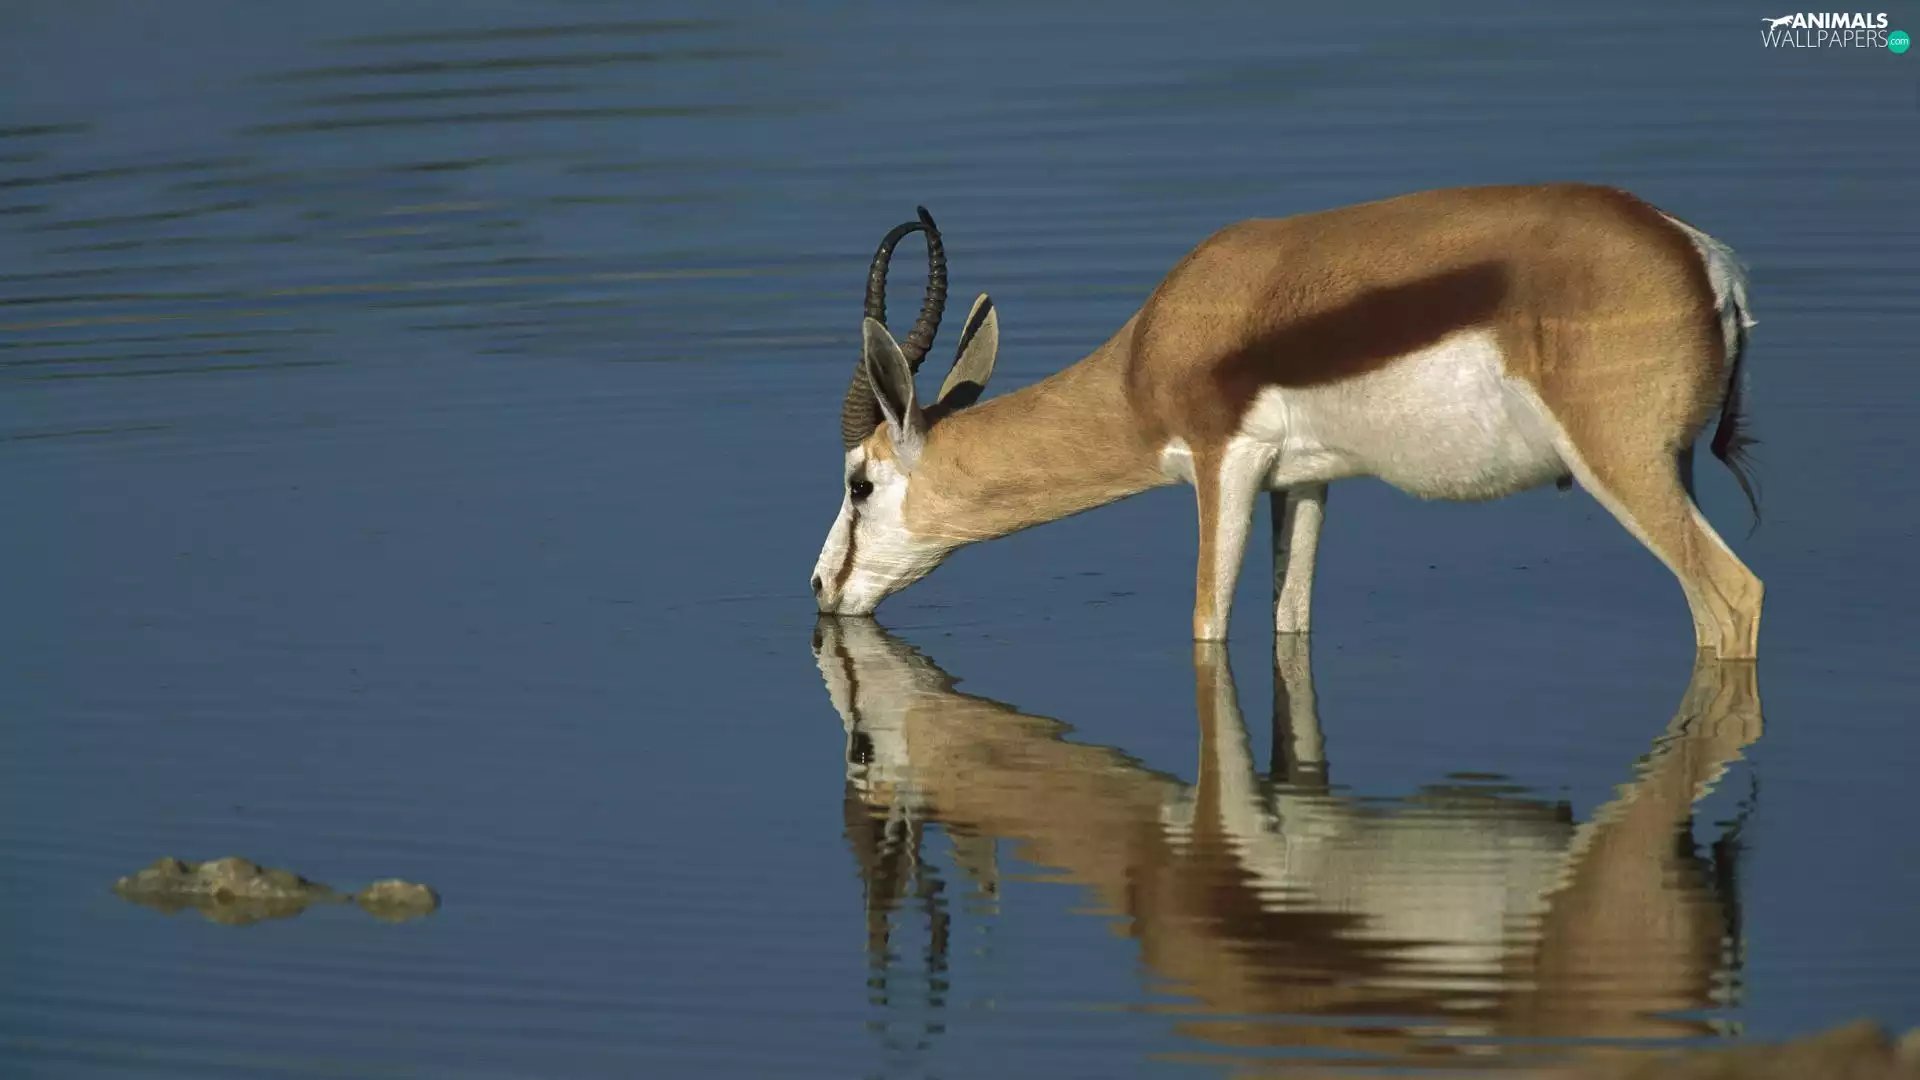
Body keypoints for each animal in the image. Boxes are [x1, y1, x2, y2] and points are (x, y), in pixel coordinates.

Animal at [810, 185, 1765, 658]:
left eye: (860, 482)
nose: (821, 590)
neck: (1150, 353)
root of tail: (1707, 262)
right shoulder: (1303, 483)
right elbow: (1290, 622)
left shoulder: (1222, 465)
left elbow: (1207, 624)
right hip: (1667, 469)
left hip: (1623, 466)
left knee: (1733, 600)